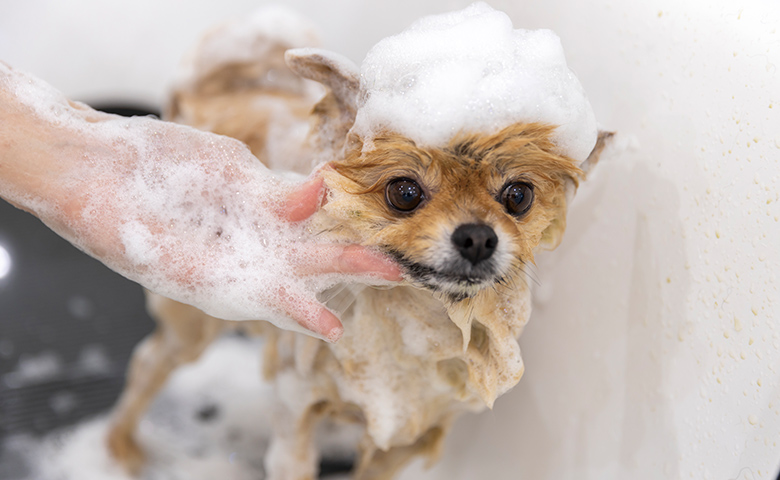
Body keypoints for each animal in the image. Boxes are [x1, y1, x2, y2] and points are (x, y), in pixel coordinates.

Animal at [106, 8, 612, 480]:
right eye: (404, 192)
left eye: (518, 196)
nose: (477, 237)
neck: (411, 319)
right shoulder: (297, 408)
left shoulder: (409, 435)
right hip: (193, 316)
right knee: (148, 363)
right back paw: (120, 447)